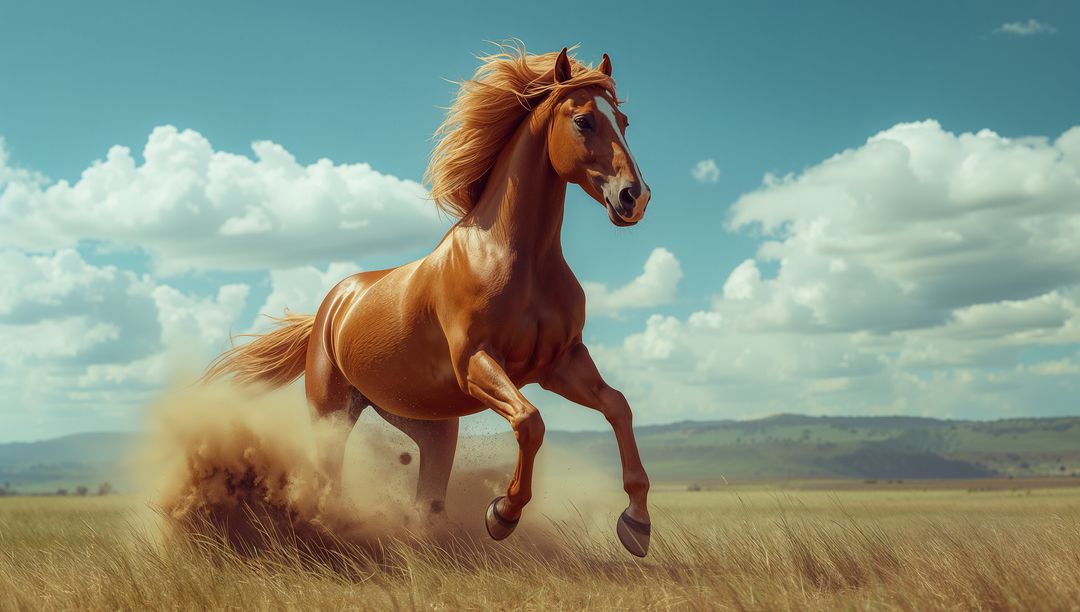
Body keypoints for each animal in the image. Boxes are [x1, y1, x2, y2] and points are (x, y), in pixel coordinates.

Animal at [203, 46, 654, 556]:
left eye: (624, 120)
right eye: (583, 121)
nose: (634, 198)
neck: (515, 258)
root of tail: (332, 305)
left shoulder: (560, 364)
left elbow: (618, 406)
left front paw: (636, 524)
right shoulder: (476, 362)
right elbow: (530, 421)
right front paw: (502, 514)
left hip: (429, 422)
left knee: (428, 492)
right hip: (331, 411)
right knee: (328, 475)